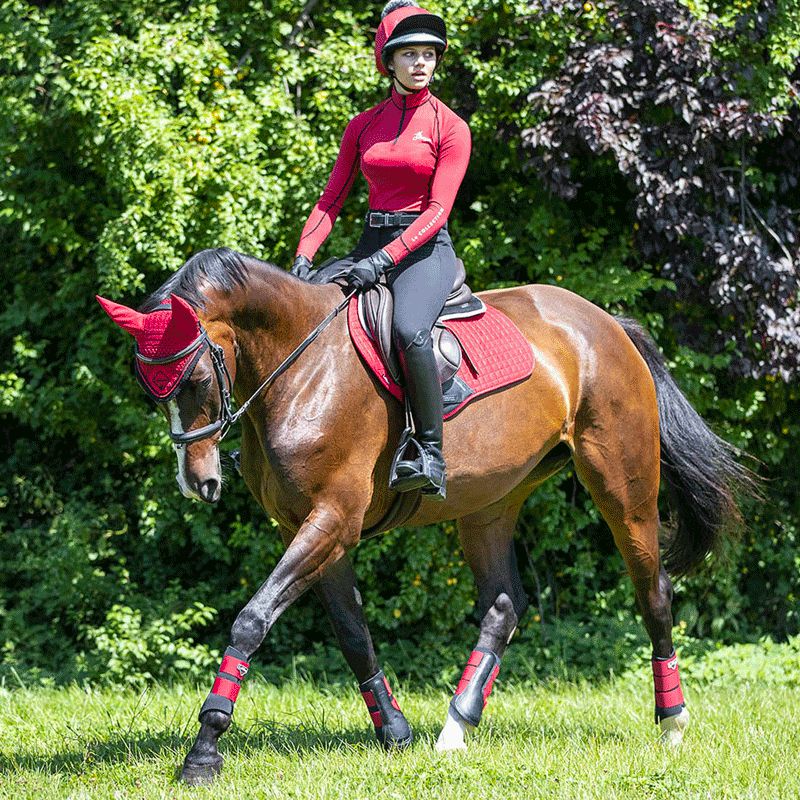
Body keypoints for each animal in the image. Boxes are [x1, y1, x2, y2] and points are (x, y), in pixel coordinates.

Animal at [98, 247, 752, 784]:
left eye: (195, 377)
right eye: (150, 389)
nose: (198, 483)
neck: (303, 367)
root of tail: (609, 323)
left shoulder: (331, 520)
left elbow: (252, 621)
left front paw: (204, 750)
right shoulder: (310, 527)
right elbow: (352, 632)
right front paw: (394, 730)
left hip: (622, 483)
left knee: (654, 590)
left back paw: (672, 723)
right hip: (491, 502)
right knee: (504, 605)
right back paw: (455, 728)